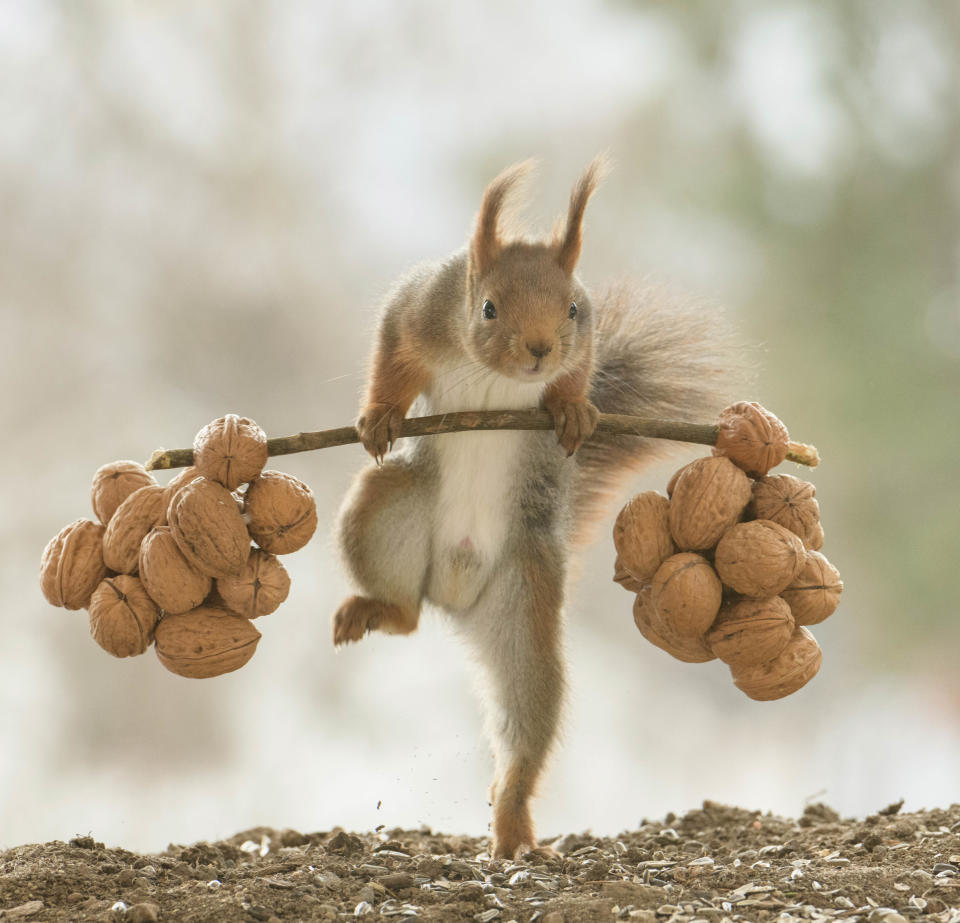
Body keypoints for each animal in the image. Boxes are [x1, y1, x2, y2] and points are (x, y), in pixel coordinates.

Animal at [332, 157, 736, 860]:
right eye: (488, 307)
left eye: (572, 307)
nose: (541, 349)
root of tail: (453, 592)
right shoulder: (418, 309)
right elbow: (392, 357)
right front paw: (380, 416)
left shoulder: (586, 338)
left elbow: (580, 376)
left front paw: (572, 410)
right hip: (383, 511)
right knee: (404, 614)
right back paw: (381, 608)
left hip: (524, 599)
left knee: (524, 717)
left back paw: (513, 826)